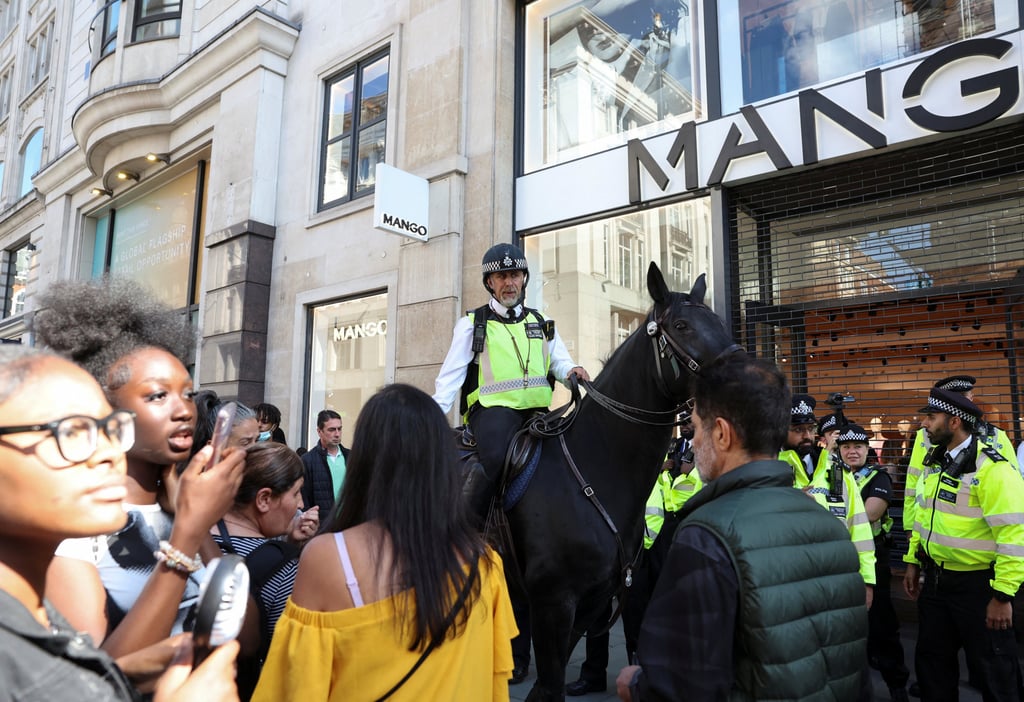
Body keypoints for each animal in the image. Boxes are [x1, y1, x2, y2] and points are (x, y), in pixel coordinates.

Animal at [503, 260, 737, 699]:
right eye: (681, 325)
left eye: (717, 321)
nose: (749, 374)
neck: (595, 466)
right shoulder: (552, 604)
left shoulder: (589, 603)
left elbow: (547, 687)